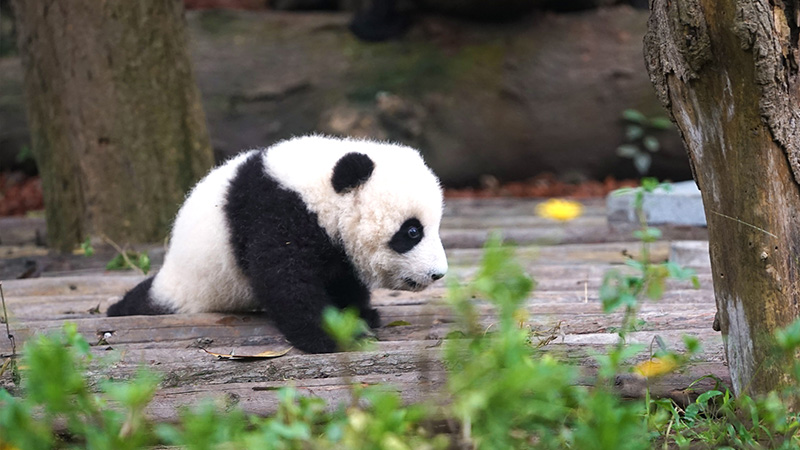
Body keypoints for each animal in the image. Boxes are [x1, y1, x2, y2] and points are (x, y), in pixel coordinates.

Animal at [107, 135, 448, 353]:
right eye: (412, 232)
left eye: (435, 227)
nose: (438, 273)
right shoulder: (273, 214)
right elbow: (286, 282)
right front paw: (333, 337)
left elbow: (342, 277)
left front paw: (361, 316)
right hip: (192, 285)